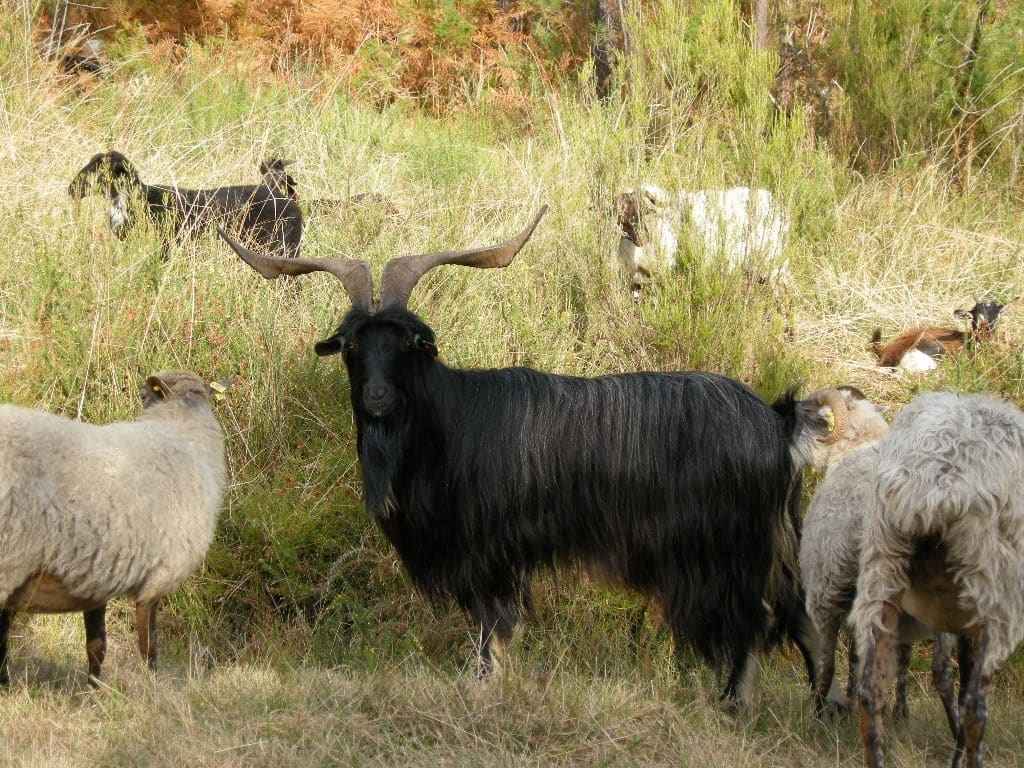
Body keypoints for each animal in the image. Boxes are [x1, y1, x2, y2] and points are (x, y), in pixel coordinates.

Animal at [0, 371, 229, 685]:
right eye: (145, 396)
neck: (181, 429)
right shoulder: (158, 577)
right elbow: (149, 645)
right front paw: (152, 686)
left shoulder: (94, 578)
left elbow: (96, 646)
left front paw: (94, 689)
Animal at [218, 208, 881, 708]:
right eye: (353, 345)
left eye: (408, 343)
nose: (377, 398)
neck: (448, 423)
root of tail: (777, 419)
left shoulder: (488, 550)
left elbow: (492, 627)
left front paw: (483, 687)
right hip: (774, 536)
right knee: (802, 616)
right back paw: (822, 708)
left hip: (726, 547)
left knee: (757, 619)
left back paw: (736, 702)